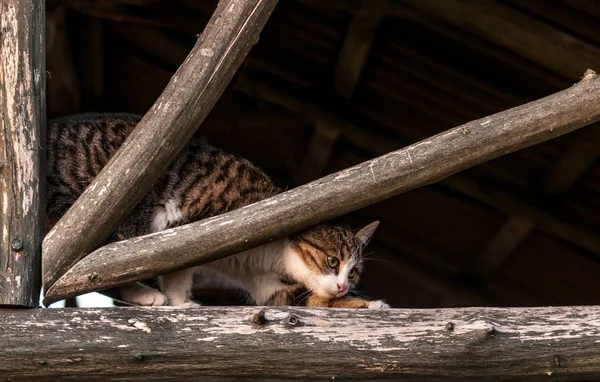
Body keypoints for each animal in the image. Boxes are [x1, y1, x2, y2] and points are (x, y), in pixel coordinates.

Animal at [47, 112, 392, 308]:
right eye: (333, 261)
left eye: (354, 271)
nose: (343, 285)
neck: (272, 256)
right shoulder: (186, 226)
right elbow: (176, 269)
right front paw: (180, 304)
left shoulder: (269, 286)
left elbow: (311, 300)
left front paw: (365, 304)